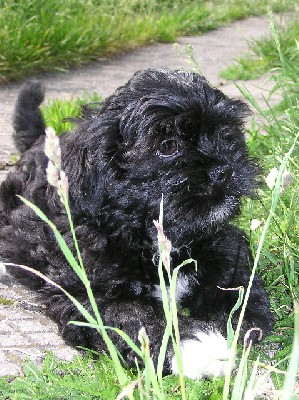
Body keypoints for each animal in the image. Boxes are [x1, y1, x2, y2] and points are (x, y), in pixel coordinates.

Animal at [0, 69, 274, 378]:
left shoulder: (223, 240)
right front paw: (194, 345)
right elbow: (135, 315)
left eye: (225, 134)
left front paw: (239, 313)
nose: (224, 170)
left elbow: (233, 275)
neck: (150, 235)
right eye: (168, 146)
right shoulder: (93, 292)